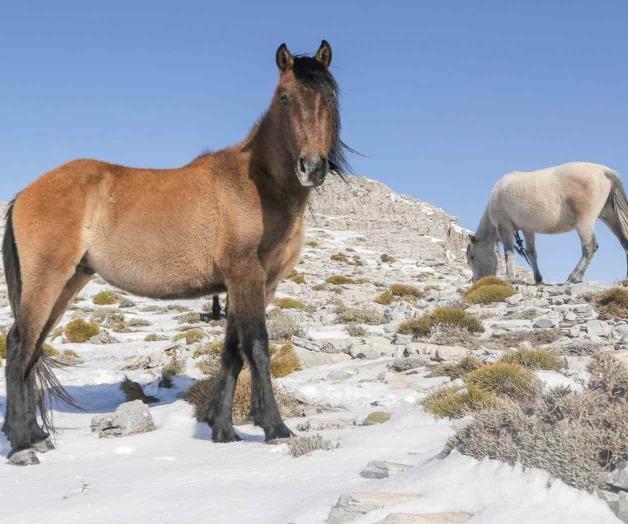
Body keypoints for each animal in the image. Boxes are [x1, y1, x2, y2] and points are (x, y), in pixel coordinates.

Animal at [1, 42, 348, 466]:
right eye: (285, 98)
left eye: (329, 97)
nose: (312, 167)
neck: (257, 184)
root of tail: (25, 192)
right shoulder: (246, 276)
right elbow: (257, 347)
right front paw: (274, 427)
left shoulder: (254, 285)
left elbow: (232, 352)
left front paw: (222, 429)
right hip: (48, 279)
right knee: (19, 345)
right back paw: (22, 445)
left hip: (69, 282)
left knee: (32, 349)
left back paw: (36, 436)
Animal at [466, 162, 628, 284]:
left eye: (472, 257)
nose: (475, 280)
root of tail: (603, 170)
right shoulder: (527, 229)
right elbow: (531, 253)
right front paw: (538, 278)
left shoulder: (504, 226)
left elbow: (509, 253)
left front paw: (510, 278)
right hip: (610, 216)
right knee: (625, 242)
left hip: (584, 221)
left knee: (589, 247)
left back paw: (574, 276)